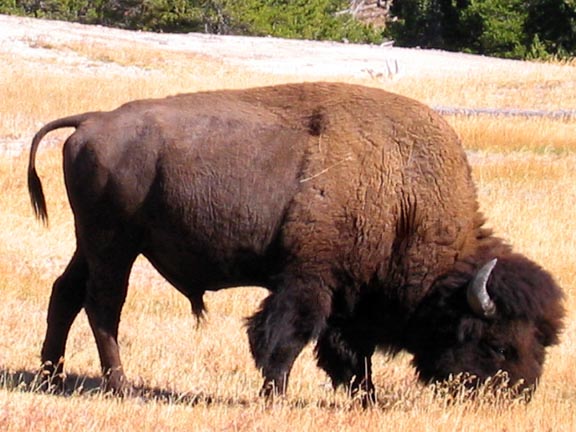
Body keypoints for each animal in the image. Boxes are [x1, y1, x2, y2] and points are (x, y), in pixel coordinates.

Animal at [27, 82, 564, 402]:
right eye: (498, 345)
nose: (518, 394)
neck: (403, 196)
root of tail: (92, 120)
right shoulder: (308, 280)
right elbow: (285, 338)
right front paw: (276, 396)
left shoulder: (348, 293)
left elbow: (347, 351)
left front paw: (367, 400)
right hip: (115, 244)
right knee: (103, 306)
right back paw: (119, 386)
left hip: (90, 242)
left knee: (65, 294)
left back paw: (51, 375)